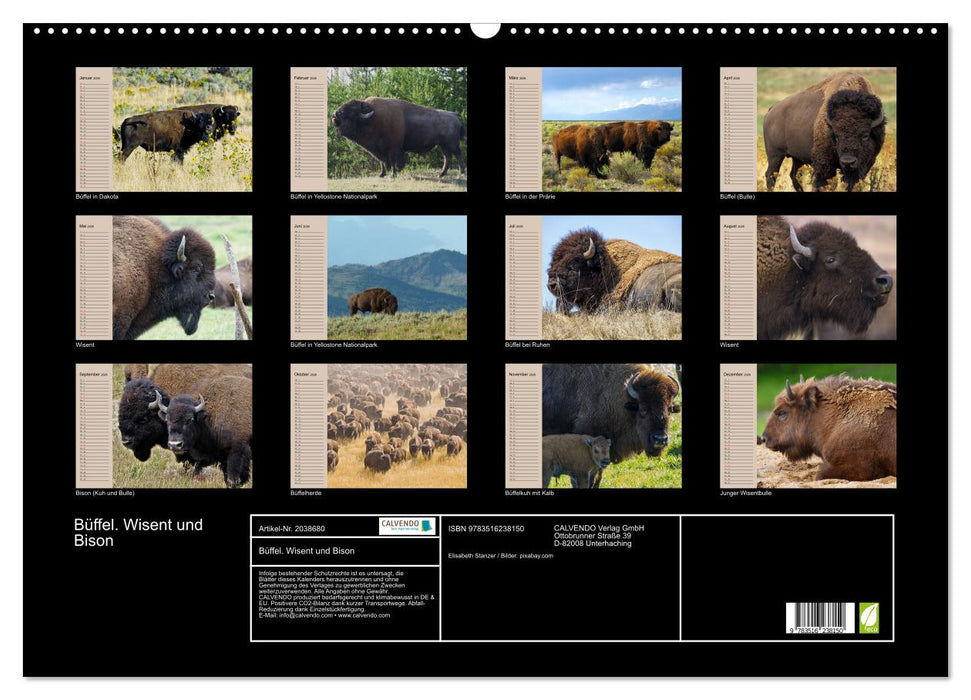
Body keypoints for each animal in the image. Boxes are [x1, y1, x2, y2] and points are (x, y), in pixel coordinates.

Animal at [332, 97, 466, 178]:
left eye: (351, 111)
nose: (334, 114)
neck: (372, 118)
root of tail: (454, 115)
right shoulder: (378, 150)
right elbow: (382, 162)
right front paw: (381, 174)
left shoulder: (393, 148)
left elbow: (393, 161)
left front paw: (393, 174)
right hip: (443, 145)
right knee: (448, 157)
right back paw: (441, 174)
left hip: (452, 144)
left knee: (458, 155)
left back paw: (461, 173)